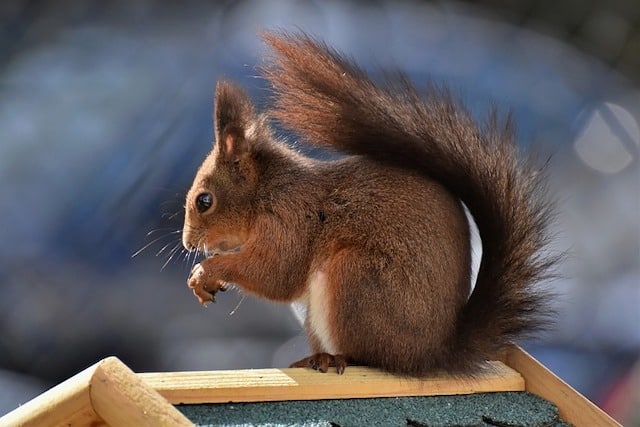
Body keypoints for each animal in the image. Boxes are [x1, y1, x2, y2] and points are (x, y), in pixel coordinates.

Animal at [181, 31, 557, 376]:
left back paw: (333, 359)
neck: (267, 191)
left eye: (204, 201)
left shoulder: (291, 218)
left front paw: (207, 271)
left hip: (356, 278)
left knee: (371, 357)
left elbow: (275, 273)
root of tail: (430, 356)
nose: (187, 244)